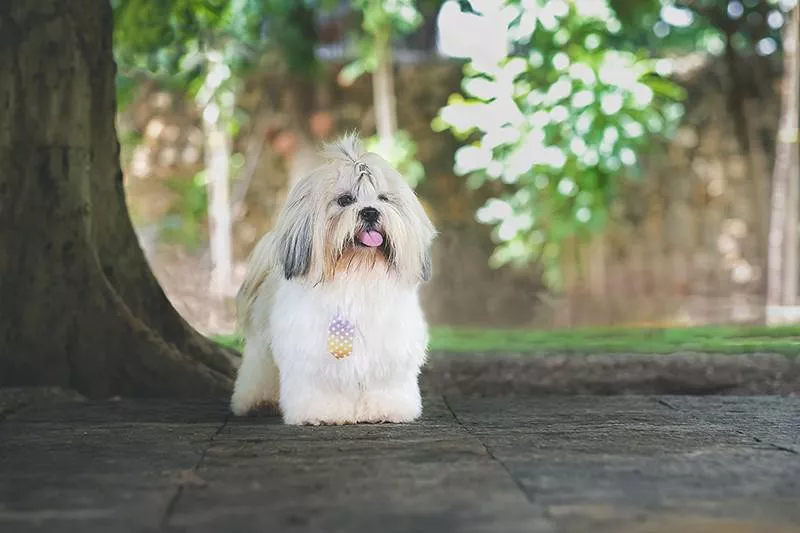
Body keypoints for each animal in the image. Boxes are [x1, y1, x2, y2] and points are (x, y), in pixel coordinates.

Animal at [230, 132, 438, 424]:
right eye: (345, 200)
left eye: (383, 198)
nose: (370, 211)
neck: (358, 275)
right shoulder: (310, 354)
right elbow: (320, 387)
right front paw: (323, 412)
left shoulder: (390, 351)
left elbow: (384, 384)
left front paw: (386, 409)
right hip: (262, 346)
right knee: (258, 369)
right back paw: (255, 401)